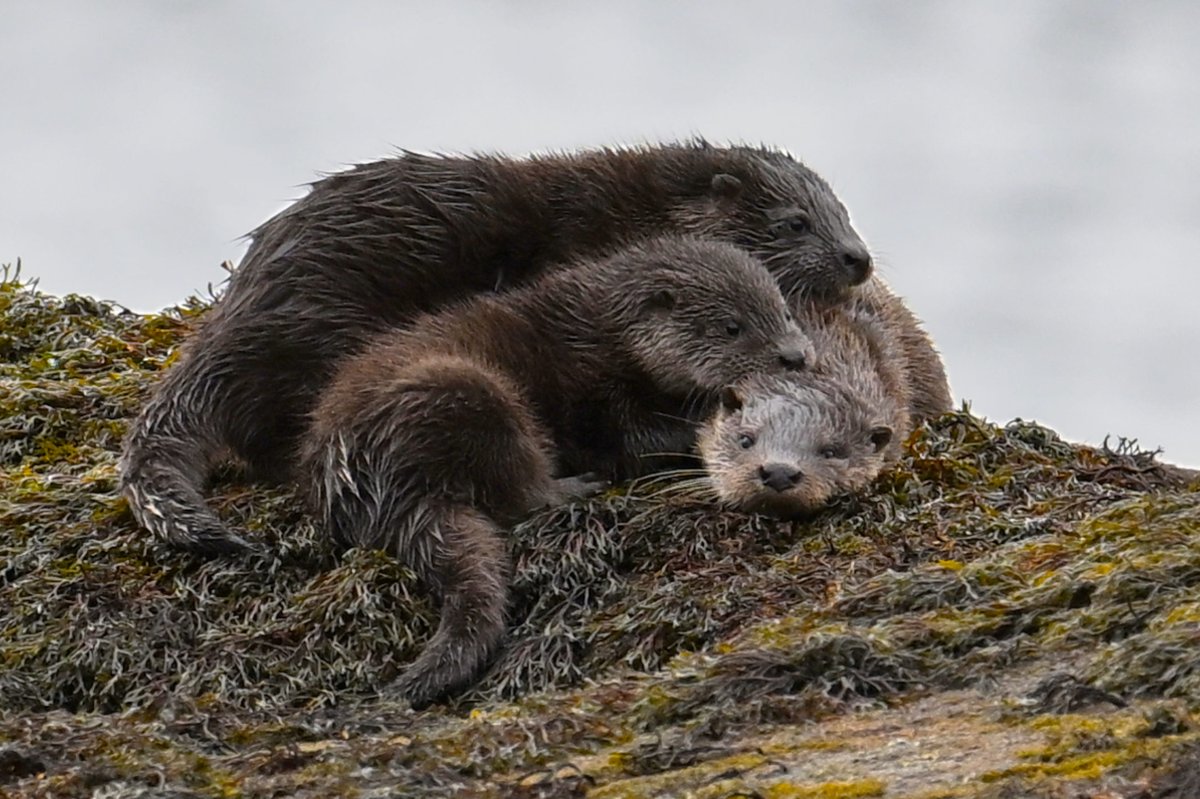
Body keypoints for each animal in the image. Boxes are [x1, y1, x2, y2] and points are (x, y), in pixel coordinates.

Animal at [300, 231, 811, 705]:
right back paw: (577, 487)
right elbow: (637, 444)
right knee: (516, 494)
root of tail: (363, 481)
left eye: (784, 310)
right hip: (466, 391)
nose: (795, 357)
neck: (603, 334)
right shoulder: (599, 395)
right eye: (731, 326)